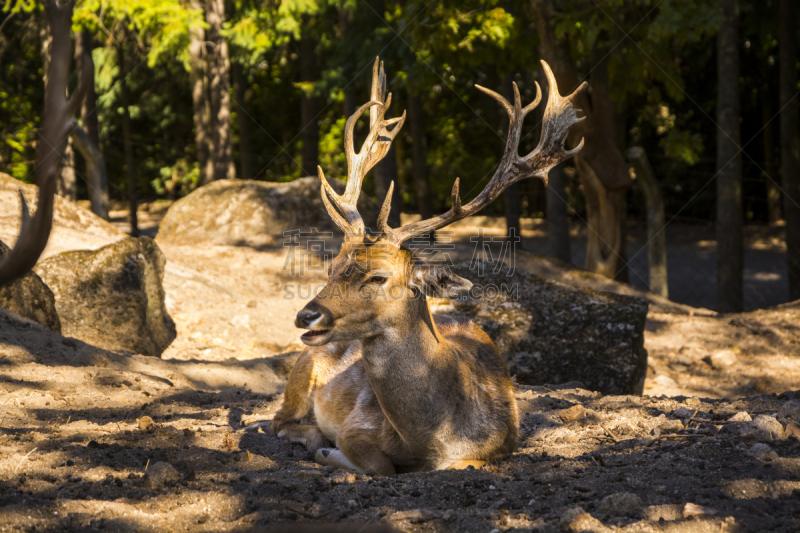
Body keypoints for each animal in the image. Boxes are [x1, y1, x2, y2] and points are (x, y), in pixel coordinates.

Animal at [272, 57, 584, 474]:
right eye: (331, 268)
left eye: (379, 276)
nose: (306, 316)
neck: (433, 441)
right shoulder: (356, 425)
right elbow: (381, 465)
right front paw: (330, 451)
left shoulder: (503, 441)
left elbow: (463, 465)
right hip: (301, 373)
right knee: (278, 421)